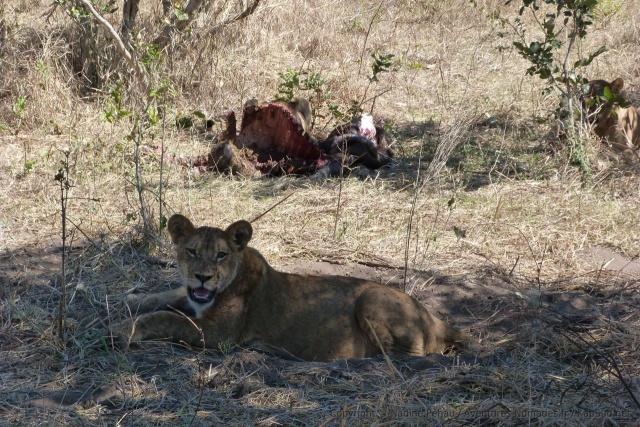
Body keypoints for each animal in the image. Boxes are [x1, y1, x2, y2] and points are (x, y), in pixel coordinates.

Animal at [110, 214, 471, 362]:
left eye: (221, 255)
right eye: (192, 251)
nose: (202, 277)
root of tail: (437, 319)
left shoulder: (217, 336)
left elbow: (168, 318)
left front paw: (124, 329)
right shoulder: (192, 299)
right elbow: (166, 297)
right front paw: (131, 298)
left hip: (372, 298)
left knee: (406, 356)